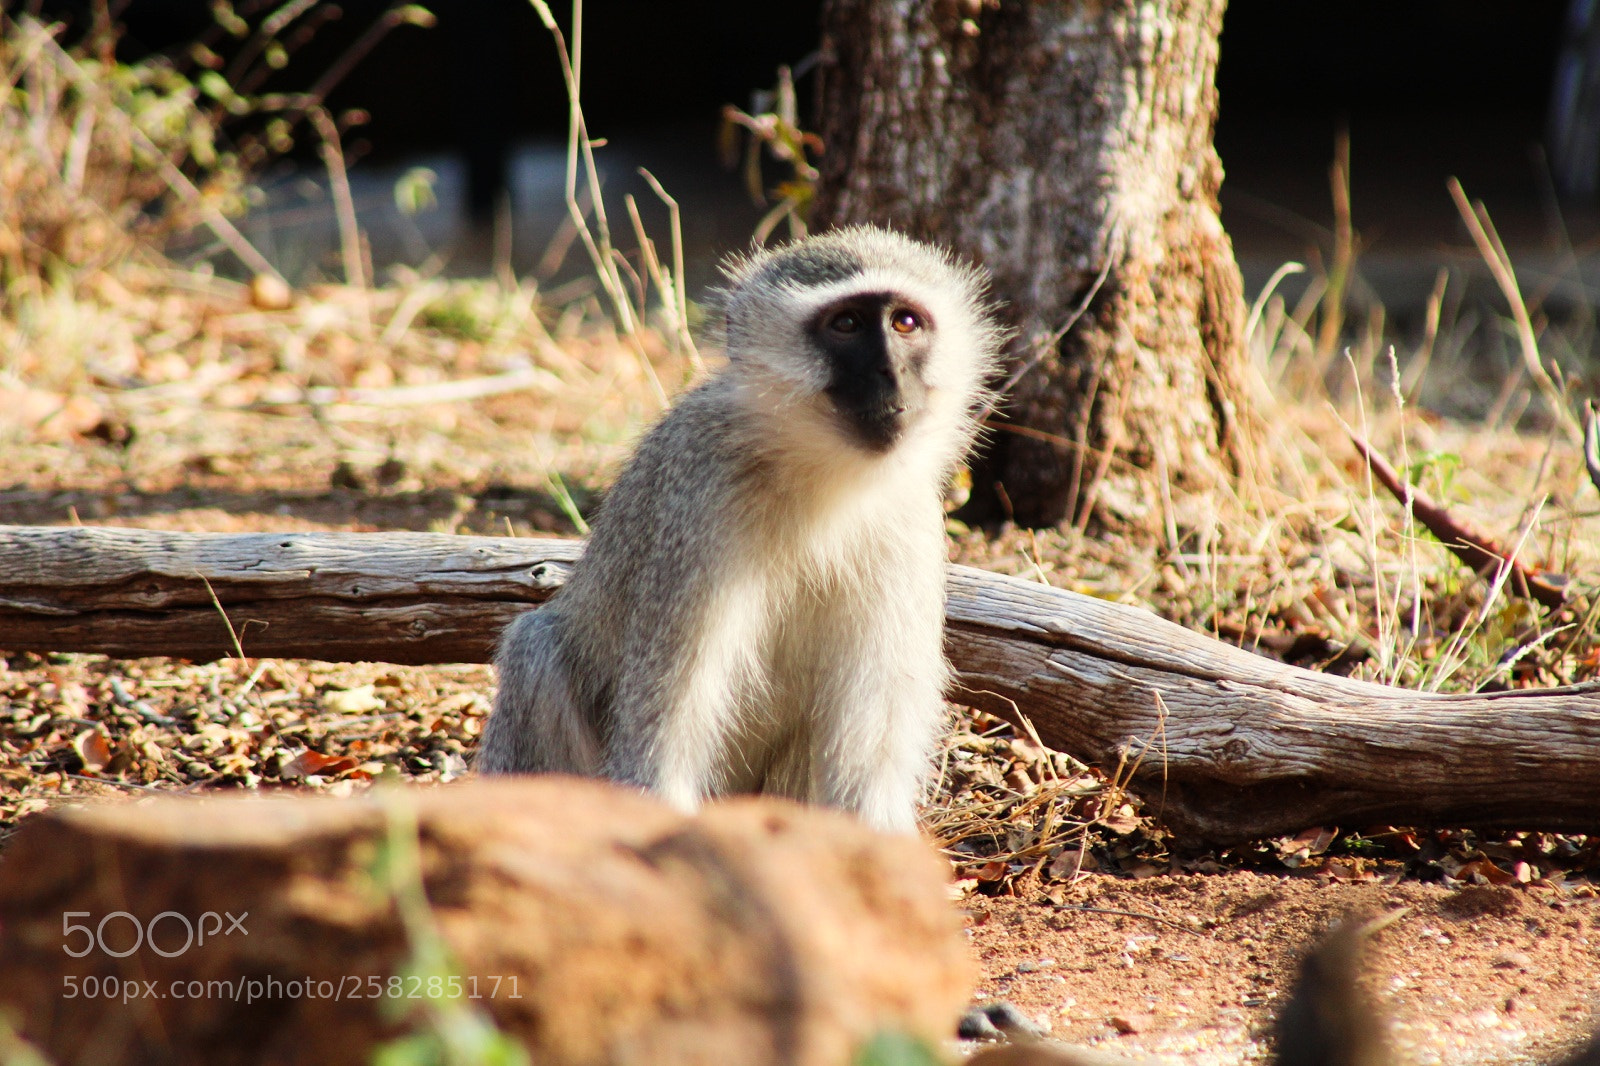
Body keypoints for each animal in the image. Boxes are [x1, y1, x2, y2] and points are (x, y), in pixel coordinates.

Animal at [473, 225, 998, 832]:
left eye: (905, 323)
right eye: (846, 324)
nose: (891, 375)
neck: (818, 476)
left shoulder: (907, 520)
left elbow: (865, 776)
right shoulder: (700, 502)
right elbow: (659, 744)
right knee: (536, 648)